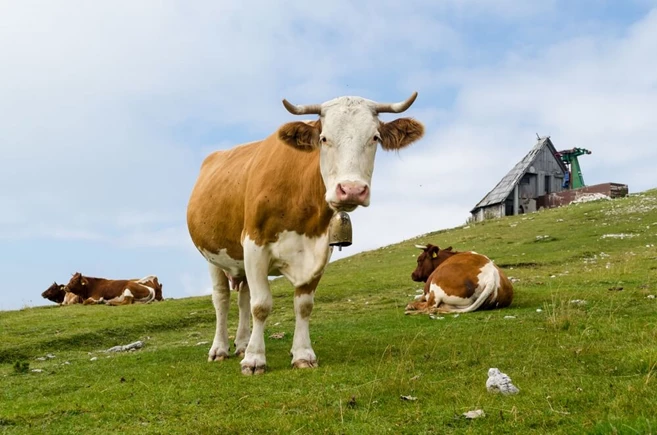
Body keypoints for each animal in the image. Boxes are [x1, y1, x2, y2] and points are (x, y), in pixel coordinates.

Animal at [186, 91, 426, 374]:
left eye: (375, 137)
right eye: (324, 138)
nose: (352, 190)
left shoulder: (320, 250)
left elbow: (303, 306)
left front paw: (302, 354)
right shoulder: (255, 245)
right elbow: (261, 305)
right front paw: (255, 359)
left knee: (243, 297)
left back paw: (242, 344)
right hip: (212, 256)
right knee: (222, 300)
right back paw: (220, 348)